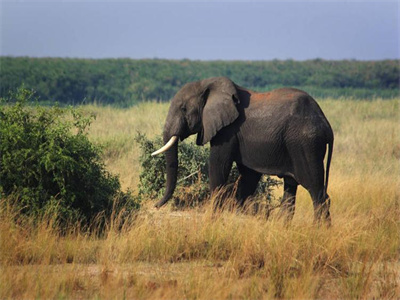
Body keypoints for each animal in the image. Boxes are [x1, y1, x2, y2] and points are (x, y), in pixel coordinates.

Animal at [152, 76, 332, 224]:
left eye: (183, 109)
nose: (155, 205)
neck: (208, 84)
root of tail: (326, 125)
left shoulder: (228, 131)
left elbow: (218, 166)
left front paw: (212, 220)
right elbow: (248, 177)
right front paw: (237, 216)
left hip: (306, 144)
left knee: (316, 190)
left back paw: (318, 230)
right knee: (291, 189)